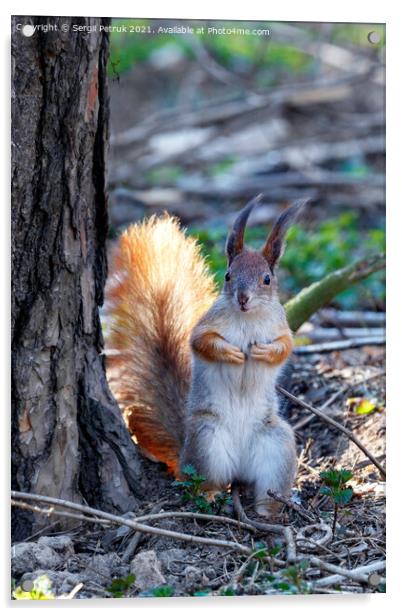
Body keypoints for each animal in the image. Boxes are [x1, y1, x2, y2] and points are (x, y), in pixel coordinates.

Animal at [105, 196, 306, 516]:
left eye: (267, 279)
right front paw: (233, 353)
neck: (247, 318)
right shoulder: (206, 326)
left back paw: (270, 510)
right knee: (205, 481)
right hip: (206, 440)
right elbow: (202, 342)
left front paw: (261, 351)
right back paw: (212, 495)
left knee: (267, 486)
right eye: (228, 275)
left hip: (277, 444)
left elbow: (284, 347)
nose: (243, 298)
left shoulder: (281, 327)